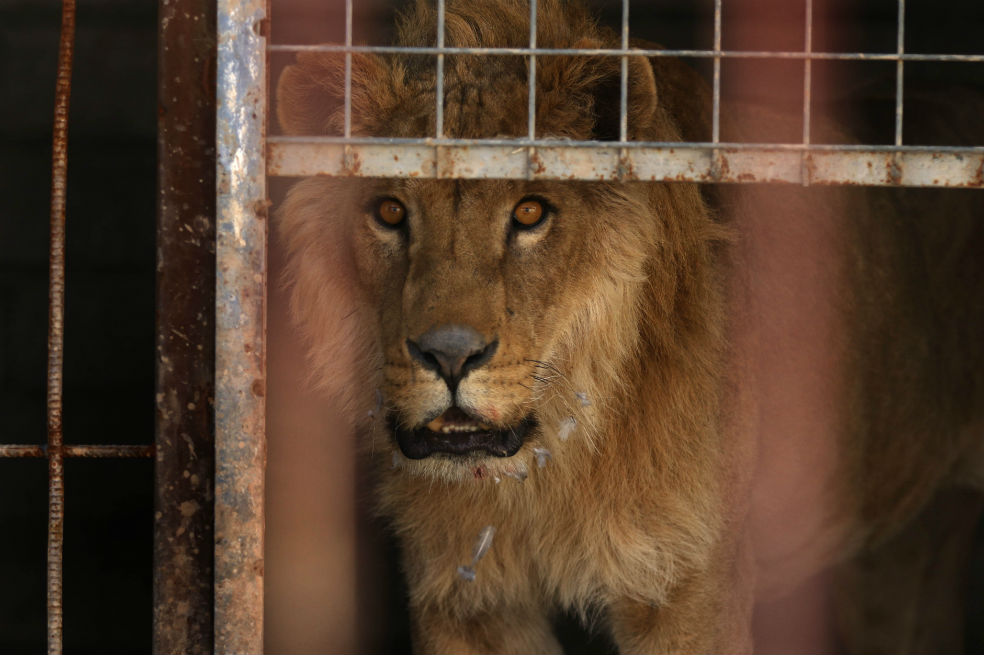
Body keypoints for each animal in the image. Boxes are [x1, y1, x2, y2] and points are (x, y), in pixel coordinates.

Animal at [274, 0, 984, 651]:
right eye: (390, 212)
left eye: (530, 213)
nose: (449, 356)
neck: (545, 471)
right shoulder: (463, 596)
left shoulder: (690, 588)